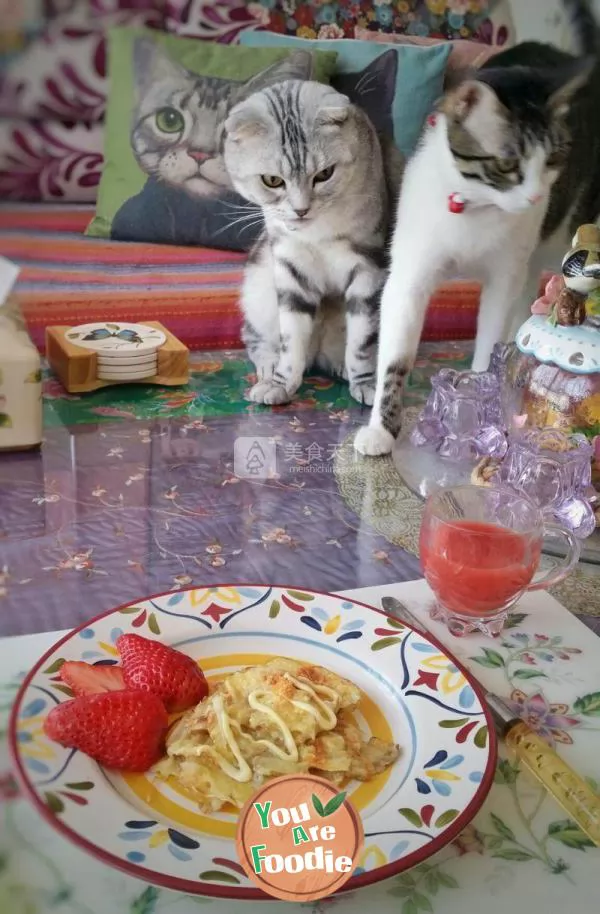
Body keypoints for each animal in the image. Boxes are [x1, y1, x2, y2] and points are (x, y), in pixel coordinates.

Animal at [221, 81, 390, 402]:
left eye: (325, 174)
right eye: (272, 180)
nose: (301, 209)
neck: (318, 234)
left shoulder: (369, 267)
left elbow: (362, 342)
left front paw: (367, 383)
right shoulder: (291, 266)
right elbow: (292, 339)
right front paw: (279, 383)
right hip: (258, 287)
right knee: (254, 337)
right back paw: (269, 366)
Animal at [356, 0, 600, 456]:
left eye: (553, 158)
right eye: (507, 164)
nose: (535, 197)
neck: (475, 208)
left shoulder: (503, 275)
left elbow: (490, 338)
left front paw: (482, 395)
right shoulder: (409, 272)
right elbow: (395, 355)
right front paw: (382, 427)